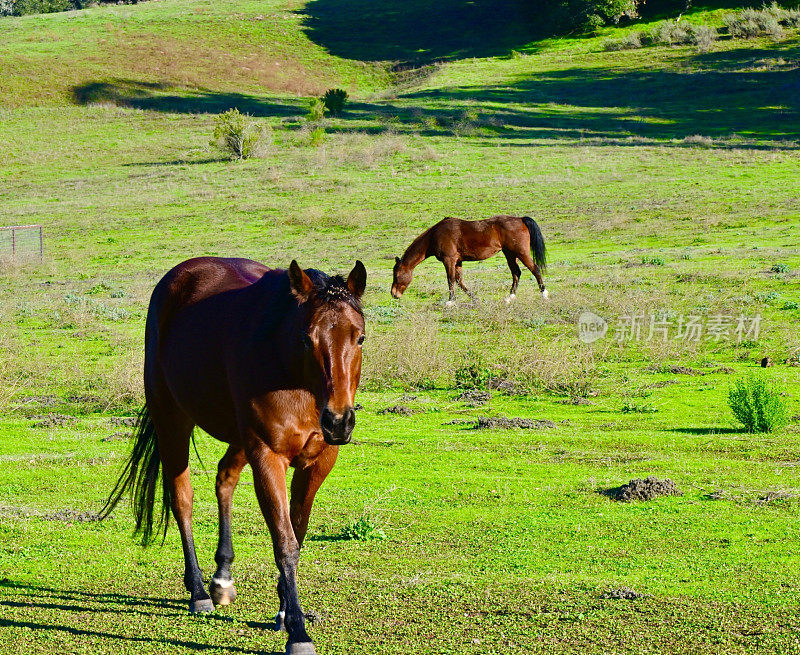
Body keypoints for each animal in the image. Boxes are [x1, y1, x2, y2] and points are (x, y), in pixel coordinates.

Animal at [98, 258, 368, 655]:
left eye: (359, 337)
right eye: (307, 338)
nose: (338, 420)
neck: (292, 374)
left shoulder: (318, 461)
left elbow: (297, 532)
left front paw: (284, 611)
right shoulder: (267, 456)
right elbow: (285, 542)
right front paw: (298, 631)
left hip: (239, 438)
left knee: (224, 478)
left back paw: (221, 578)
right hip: (172, 419)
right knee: (182, 499)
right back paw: (198, 592)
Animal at [390, 217, 548, 306]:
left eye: (396, 275)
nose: (394, 294)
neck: (435, 235)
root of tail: (521, 219)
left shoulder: (449, 260)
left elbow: (450, 280)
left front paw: (450, 301)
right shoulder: (458, 262)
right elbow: (460, 281)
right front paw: (475, 299)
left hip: (521, 252)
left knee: (535, 269)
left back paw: (544, 294)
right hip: (510, 254)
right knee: (516, 273)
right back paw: (510, 298)